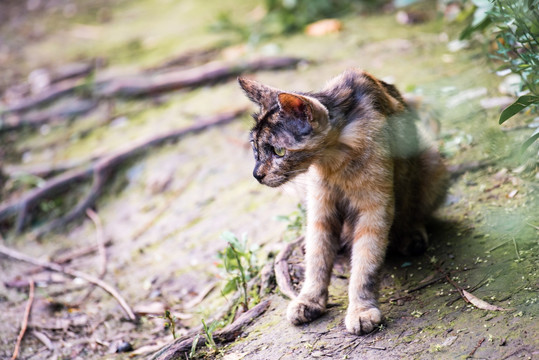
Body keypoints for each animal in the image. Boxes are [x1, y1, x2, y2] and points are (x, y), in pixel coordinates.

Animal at [238, 69, 450, 334]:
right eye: (254, 147)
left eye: (278, 151)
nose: (256, 174)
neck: (334, 160)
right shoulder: (320, 209)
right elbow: (317, 259)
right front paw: (309, 300)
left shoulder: (375, 207)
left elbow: (365, 264)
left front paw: (361, 310)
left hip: (432, 161)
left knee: (416, 212)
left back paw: (411, 235)